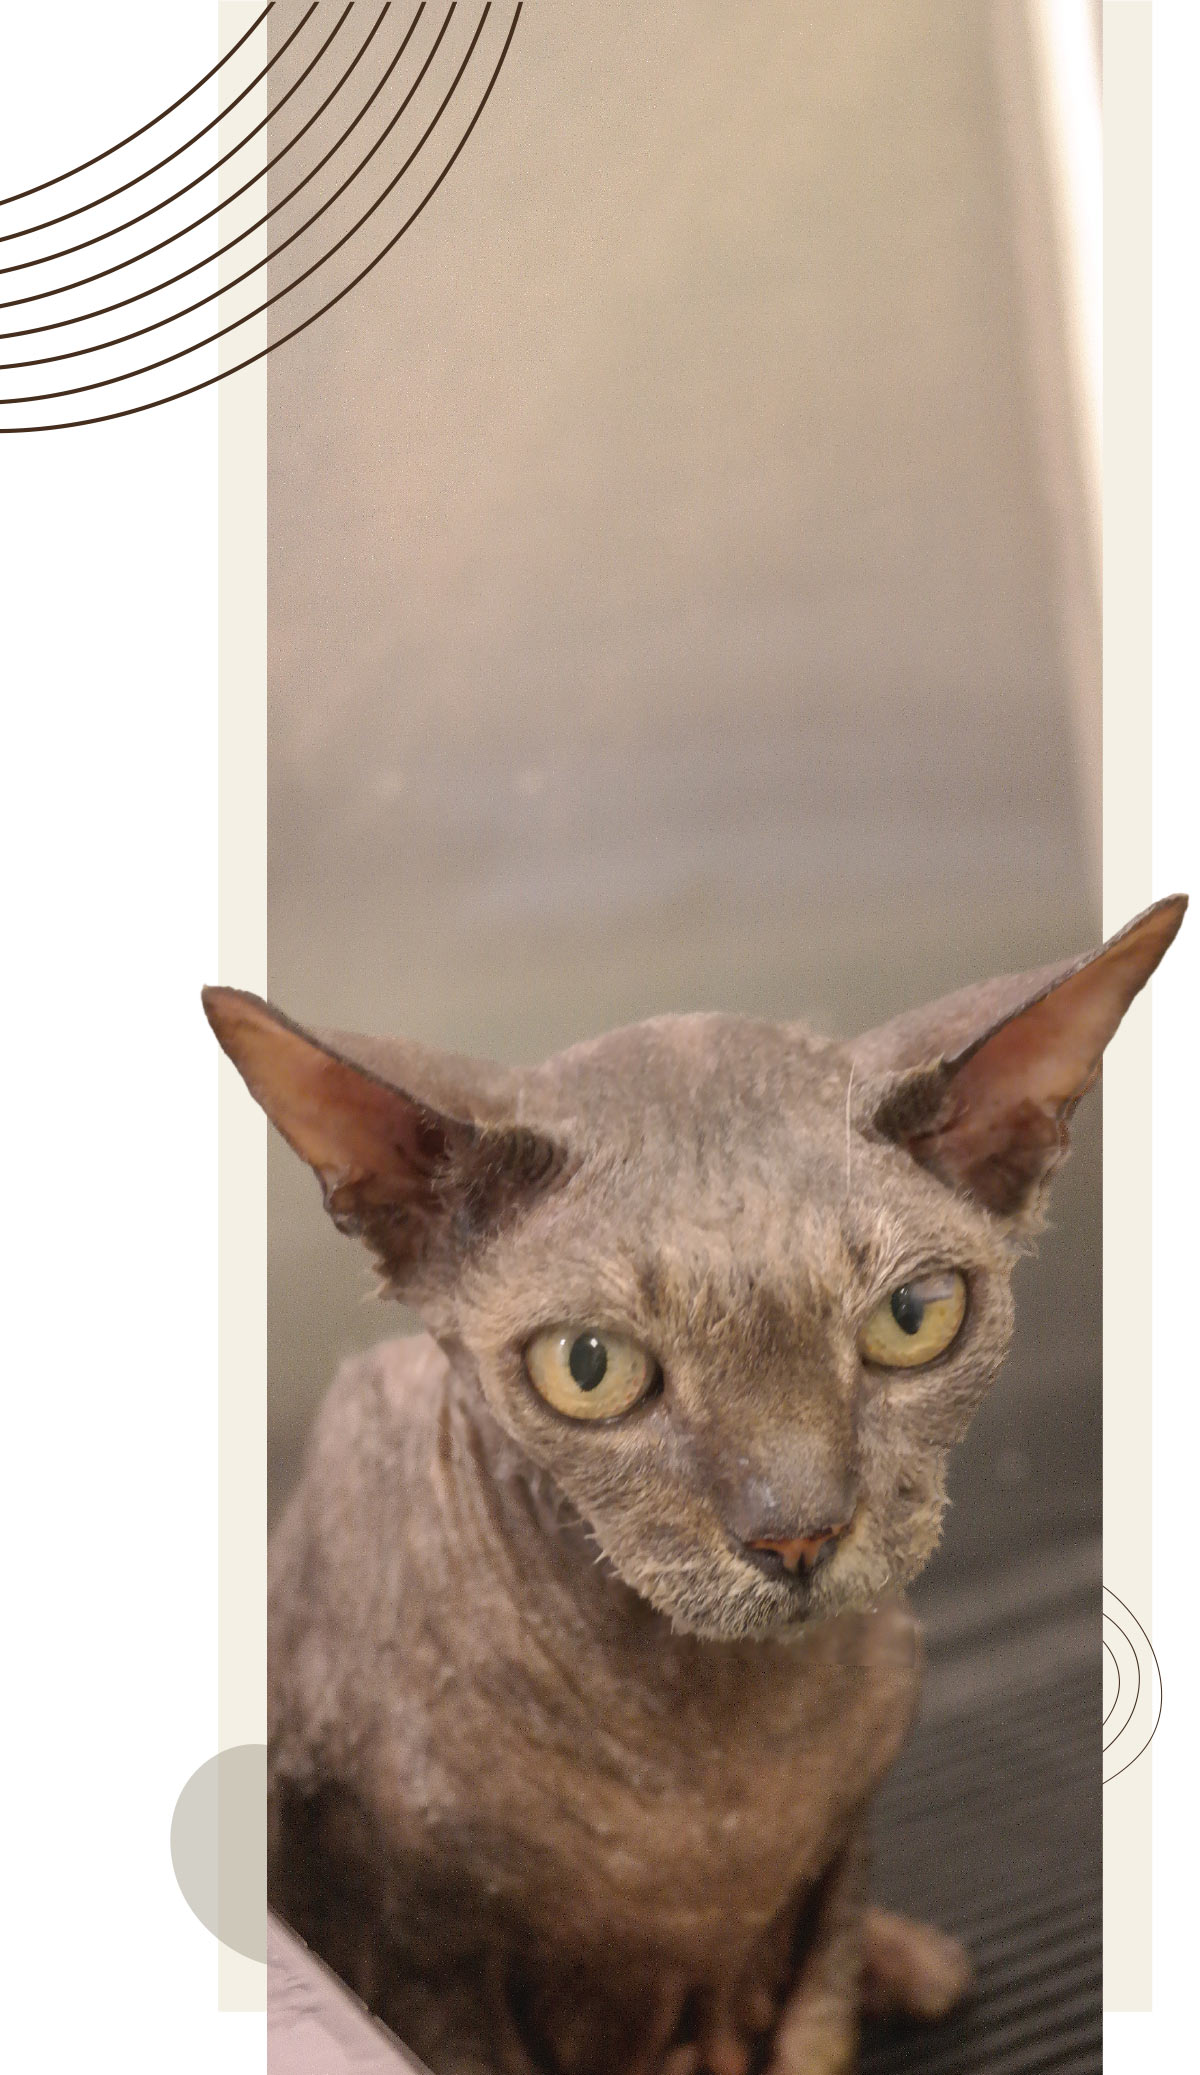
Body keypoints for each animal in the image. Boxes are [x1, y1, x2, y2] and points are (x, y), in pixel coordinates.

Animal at [203, 896, 1179, 2075]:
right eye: (589, 1366)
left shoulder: (839, 1866)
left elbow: (815, 2025)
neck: (708, 1756)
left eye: (914, 1317)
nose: (798, 1535)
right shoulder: (429, 1956)